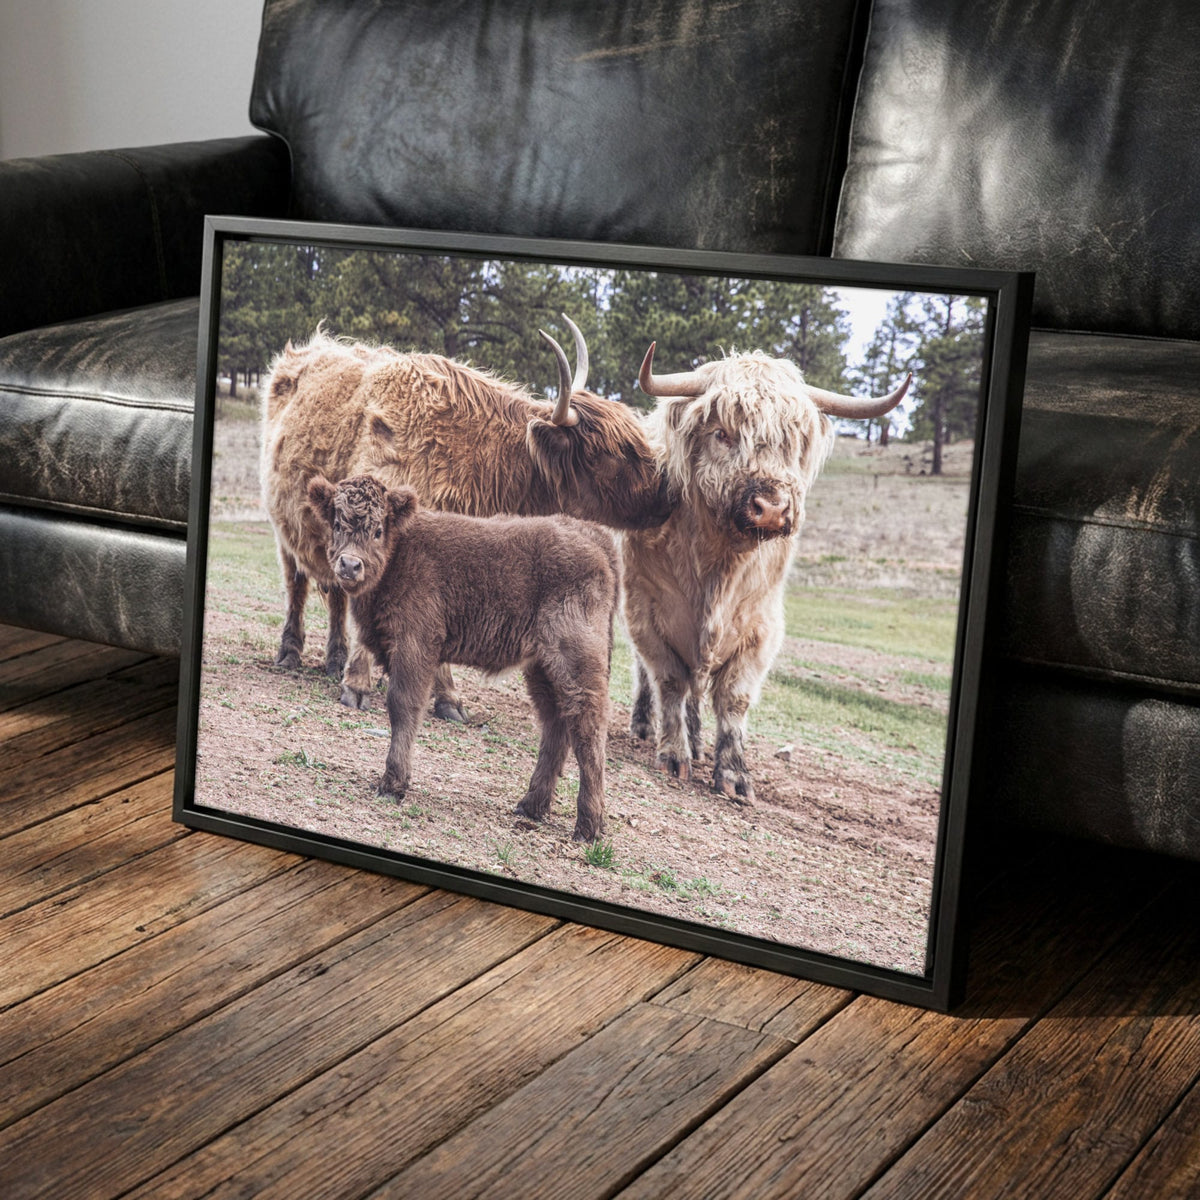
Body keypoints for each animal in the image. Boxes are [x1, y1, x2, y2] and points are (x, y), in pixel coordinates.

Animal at [260, 316, 670, 716]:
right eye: (611, 452)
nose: (667, 491)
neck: (472, 456)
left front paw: (445, 698)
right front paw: (358, 687)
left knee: (335, 596)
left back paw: (335, 660)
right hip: (288, 527)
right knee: (297, 584)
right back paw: (290, 653)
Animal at [305, 473, 618, 842]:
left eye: (378, 529)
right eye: (338, 523)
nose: (351, 565)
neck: (400, 553)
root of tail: (591, 534)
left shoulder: (415, 646)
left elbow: (403, 705)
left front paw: (392, 784)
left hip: (576, 662)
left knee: (588, 728)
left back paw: (588, 827)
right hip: (542, 668)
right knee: (556, 726)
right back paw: (530, 806)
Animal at [623, 343, 911, 805]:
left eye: (793, 443)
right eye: (722, 433)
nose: (773, 507)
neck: (718, 569)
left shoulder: (759, 627)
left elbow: (734, 699)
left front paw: (733, 775)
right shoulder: (647, 611)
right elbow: (668, 681)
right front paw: (672, 755)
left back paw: (699, 743)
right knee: (653, 677)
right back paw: (646, 727)